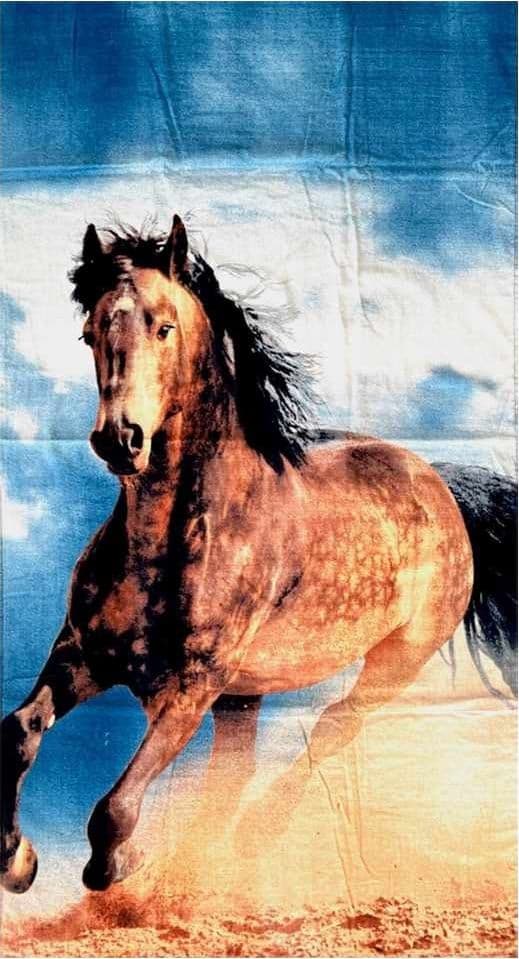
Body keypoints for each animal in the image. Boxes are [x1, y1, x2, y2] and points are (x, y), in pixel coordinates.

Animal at [1, 215, 516, 895]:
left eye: (163, 326)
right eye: (89, 333)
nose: (120, 439)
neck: (164, 547)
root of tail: (443, 487)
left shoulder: (190, 688)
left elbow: (115, 809)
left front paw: (121, 866)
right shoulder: (84, 654)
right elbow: (18, 733)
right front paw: (18, 862)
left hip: (395, 660)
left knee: (334, 725)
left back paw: (253, 835)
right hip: (246, 695)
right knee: (237, 770)